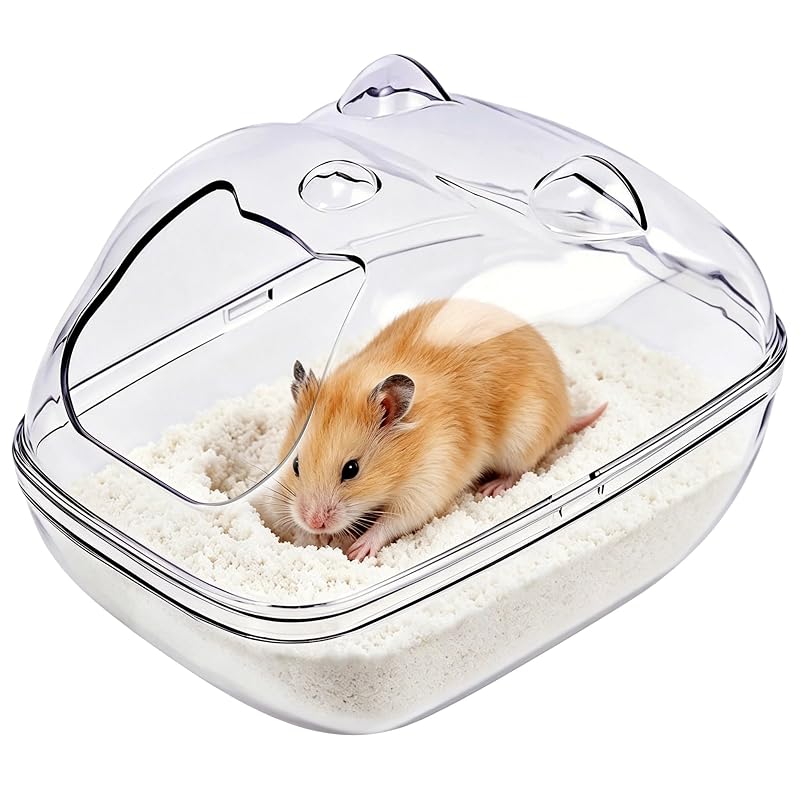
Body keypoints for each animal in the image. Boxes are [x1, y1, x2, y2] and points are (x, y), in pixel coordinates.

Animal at [255, 299, 605, 561]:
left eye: (352, 470)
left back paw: (492, 488)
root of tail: (565, 408)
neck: (405, 455)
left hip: (524, 436)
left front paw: (357, 550)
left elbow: (393, 522)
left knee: (520, 469)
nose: (314, 522)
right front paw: (306, 538)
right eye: (295, 465)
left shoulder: (428, 481)